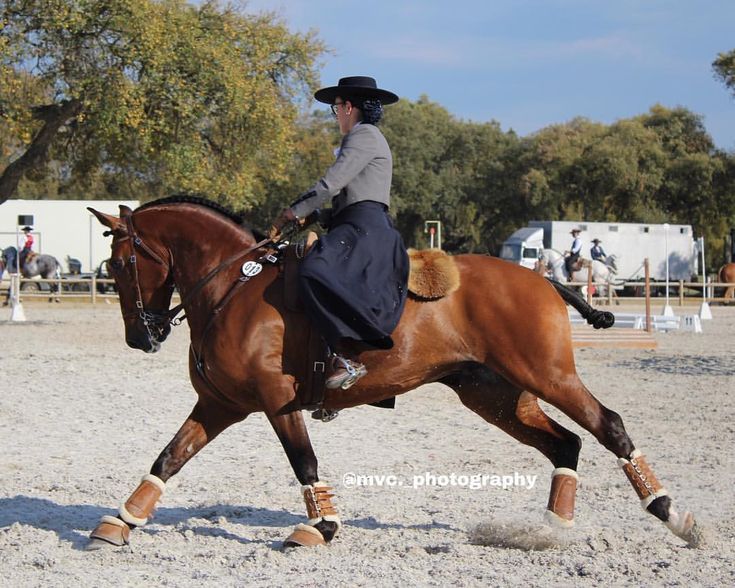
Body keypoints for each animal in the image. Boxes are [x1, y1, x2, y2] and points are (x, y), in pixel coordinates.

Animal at [83, 198, 700, 552]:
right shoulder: (220, 405)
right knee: (565, 445)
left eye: (120, 263)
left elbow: (304, 463)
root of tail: (541, 278)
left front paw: (319, 527)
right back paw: (548, 532)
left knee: (609, 426)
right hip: (499, 397)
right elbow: (169, 457)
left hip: (550, 378)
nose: (141, 336)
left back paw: (674, 517)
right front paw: (121, 522)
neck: (234, 287)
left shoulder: (276, 402)